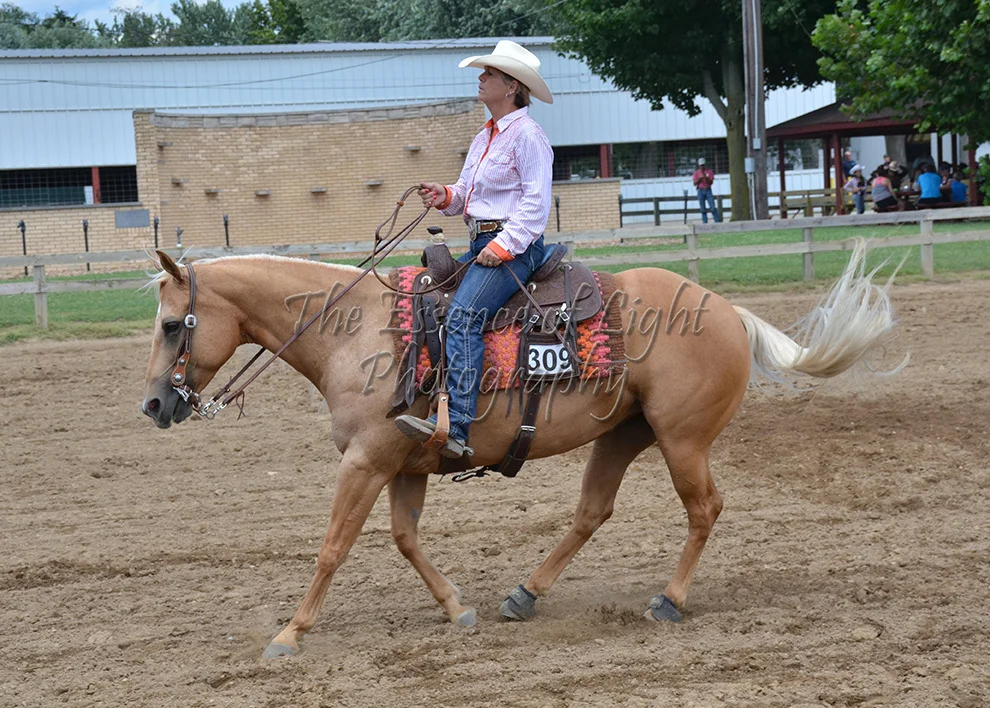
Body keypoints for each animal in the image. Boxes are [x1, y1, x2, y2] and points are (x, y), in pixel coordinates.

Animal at [140, 241, 902, 659]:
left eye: (175, 325)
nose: (153, 406)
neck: (356, 331)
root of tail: (725, 310)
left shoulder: (365, 461)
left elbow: (333, 546)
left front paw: (290, 634)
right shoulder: (401, 464)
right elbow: (405, 539)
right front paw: (458, 609)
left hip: (682, 440)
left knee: (704, 509)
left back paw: (667, 600)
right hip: (623, 434)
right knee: (593, 512)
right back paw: (524, 594)